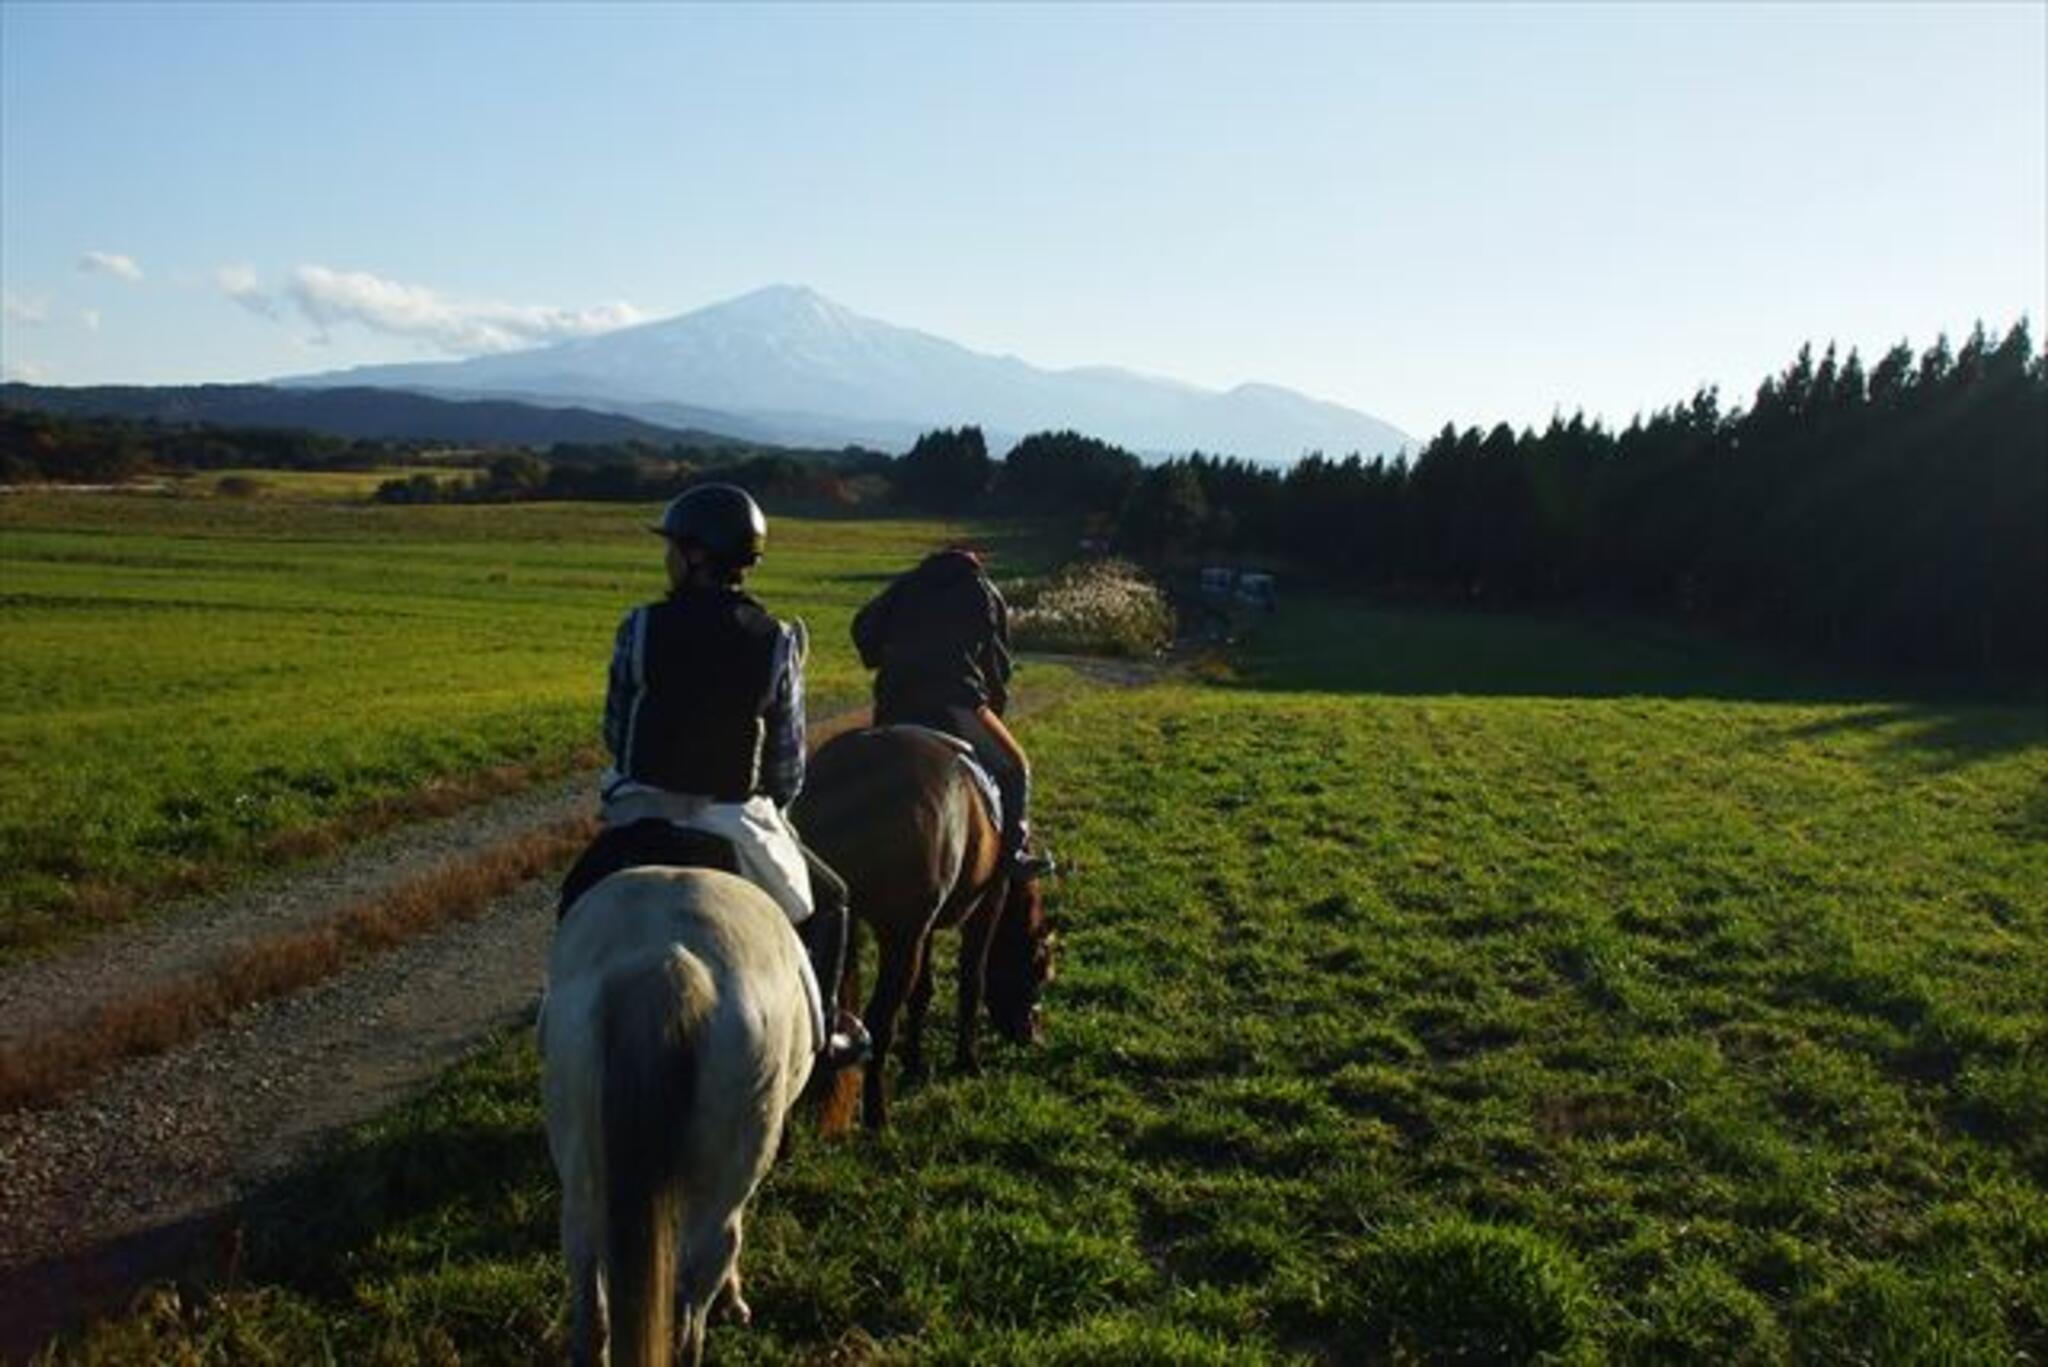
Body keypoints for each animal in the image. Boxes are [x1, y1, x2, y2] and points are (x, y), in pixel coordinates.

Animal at [544, 873, 815, 1360]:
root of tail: (662, 960)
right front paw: (732, 1302)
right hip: (725, 1182)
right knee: (690, 1304)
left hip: (581, 1181)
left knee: (589, 1295)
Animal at [790, 721, 1056, 1131]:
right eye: (1040, 969)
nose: (1032, 1036)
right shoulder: (988, 904)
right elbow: (971, 981)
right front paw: (968, 1062)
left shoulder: (924, 929)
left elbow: (922, 992)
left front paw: (914, 1063)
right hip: (899, 937)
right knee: (880, 1022)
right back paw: (877, 1117)